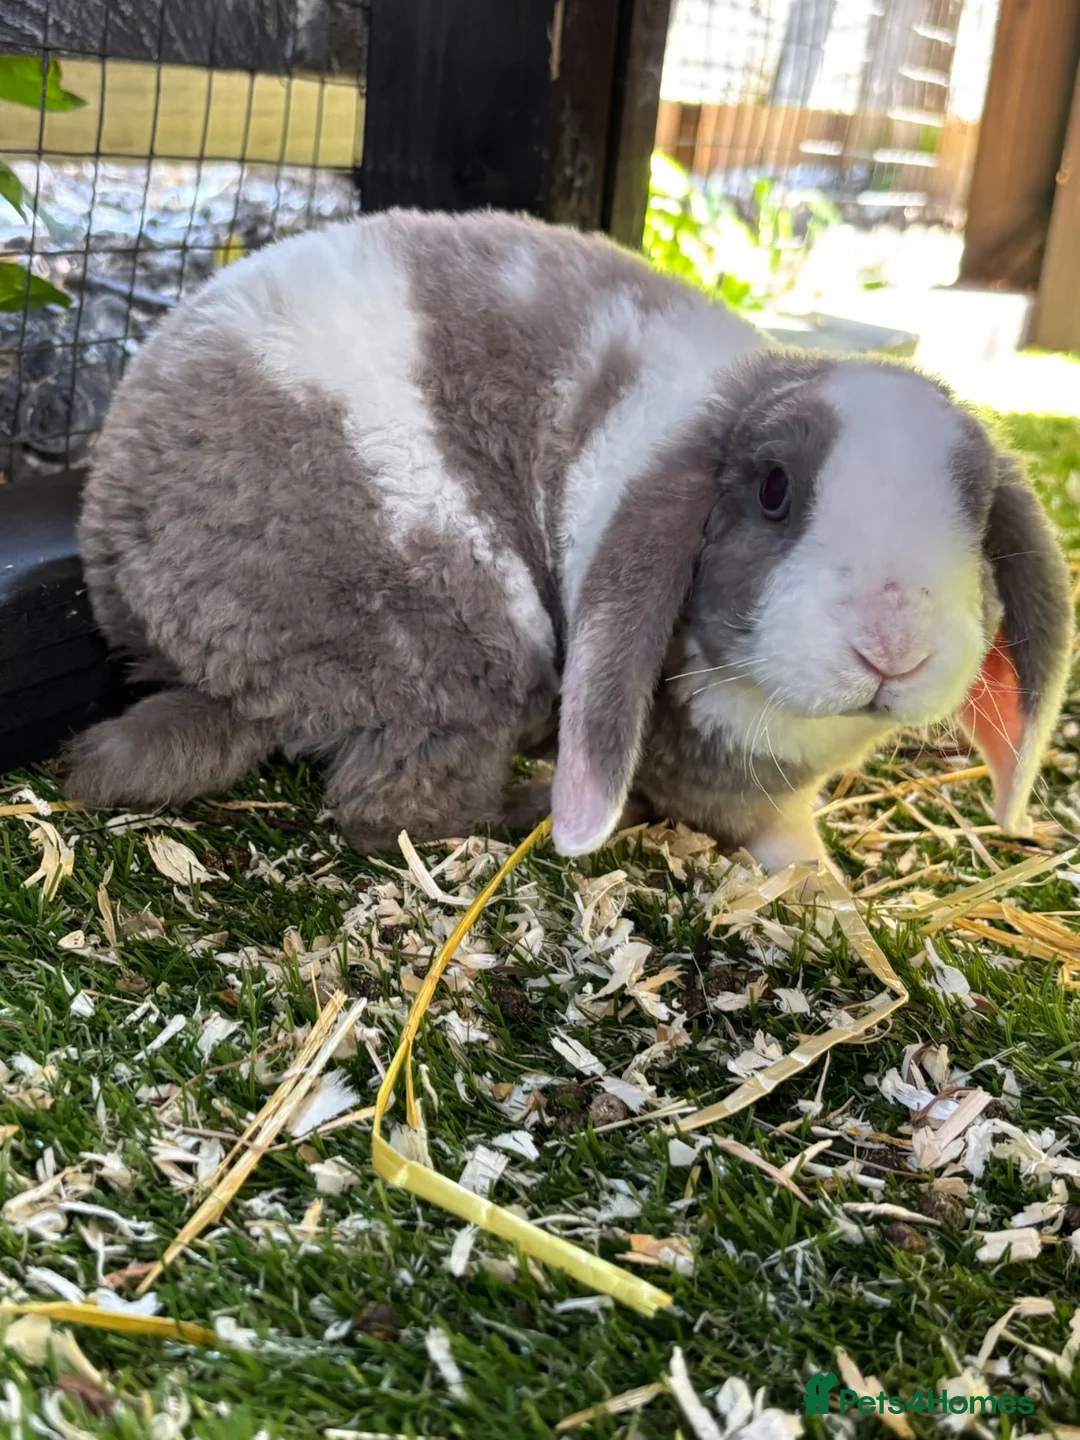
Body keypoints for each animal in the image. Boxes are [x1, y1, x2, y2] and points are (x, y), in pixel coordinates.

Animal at [66, 208, 1073, 870]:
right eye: (776, 490)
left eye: (977, 511)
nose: (893, 644)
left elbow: (787, 838)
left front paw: (825, 893)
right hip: (465, 626)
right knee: (392, 807)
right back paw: (522, 813)